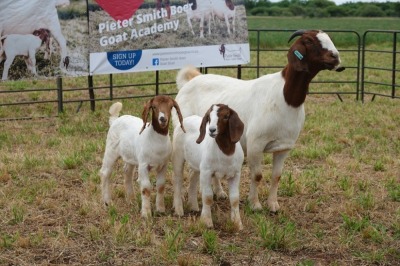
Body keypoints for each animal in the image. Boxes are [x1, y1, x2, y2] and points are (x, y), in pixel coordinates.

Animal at [173, 29, 346, 212]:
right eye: (309, 41)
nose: (336, 58)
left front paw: (273, 205)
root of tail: (190, 80)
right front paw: (255, 204)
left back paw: (219, 193)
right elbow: (257, 175)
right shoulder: (255, 144)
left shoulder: (284, 147)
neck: (285, 97)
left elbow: (277, 176)